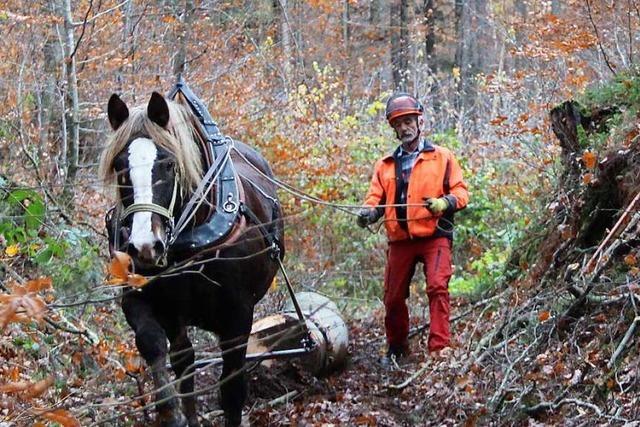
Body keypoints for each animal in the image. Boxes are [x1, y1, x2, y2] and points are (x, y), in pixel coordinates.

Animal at [99, 91, 282, 427]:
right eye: (120, 166)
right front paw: (169, 410)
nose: (145, 246)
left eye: (169, 164)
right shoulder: (139, 298)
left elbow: (232, 389)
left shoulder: (239, 315)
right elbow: (152, 343)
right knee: (184, 361)